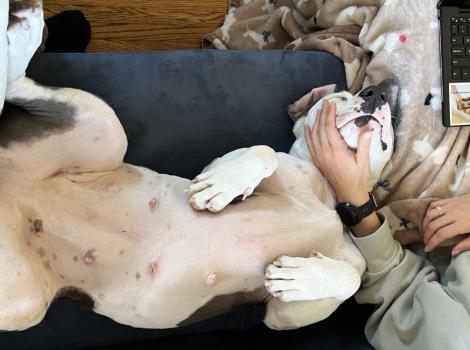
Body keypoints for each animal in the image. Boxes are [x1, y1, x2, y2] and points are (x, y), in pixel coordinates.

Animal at [0, 0, 398, 332]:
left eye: (390, 133)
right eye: (342, 96)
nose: (378, 91)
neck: (322, 190)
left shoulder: (283, 315)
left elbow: (352, 279)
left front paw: (297, 277)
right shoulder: (225, 161)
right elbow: (264, 151)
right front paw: (221, 186)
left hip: (22, 302)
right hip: (104, 125)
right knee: (15, 81)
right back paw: (24, 28)